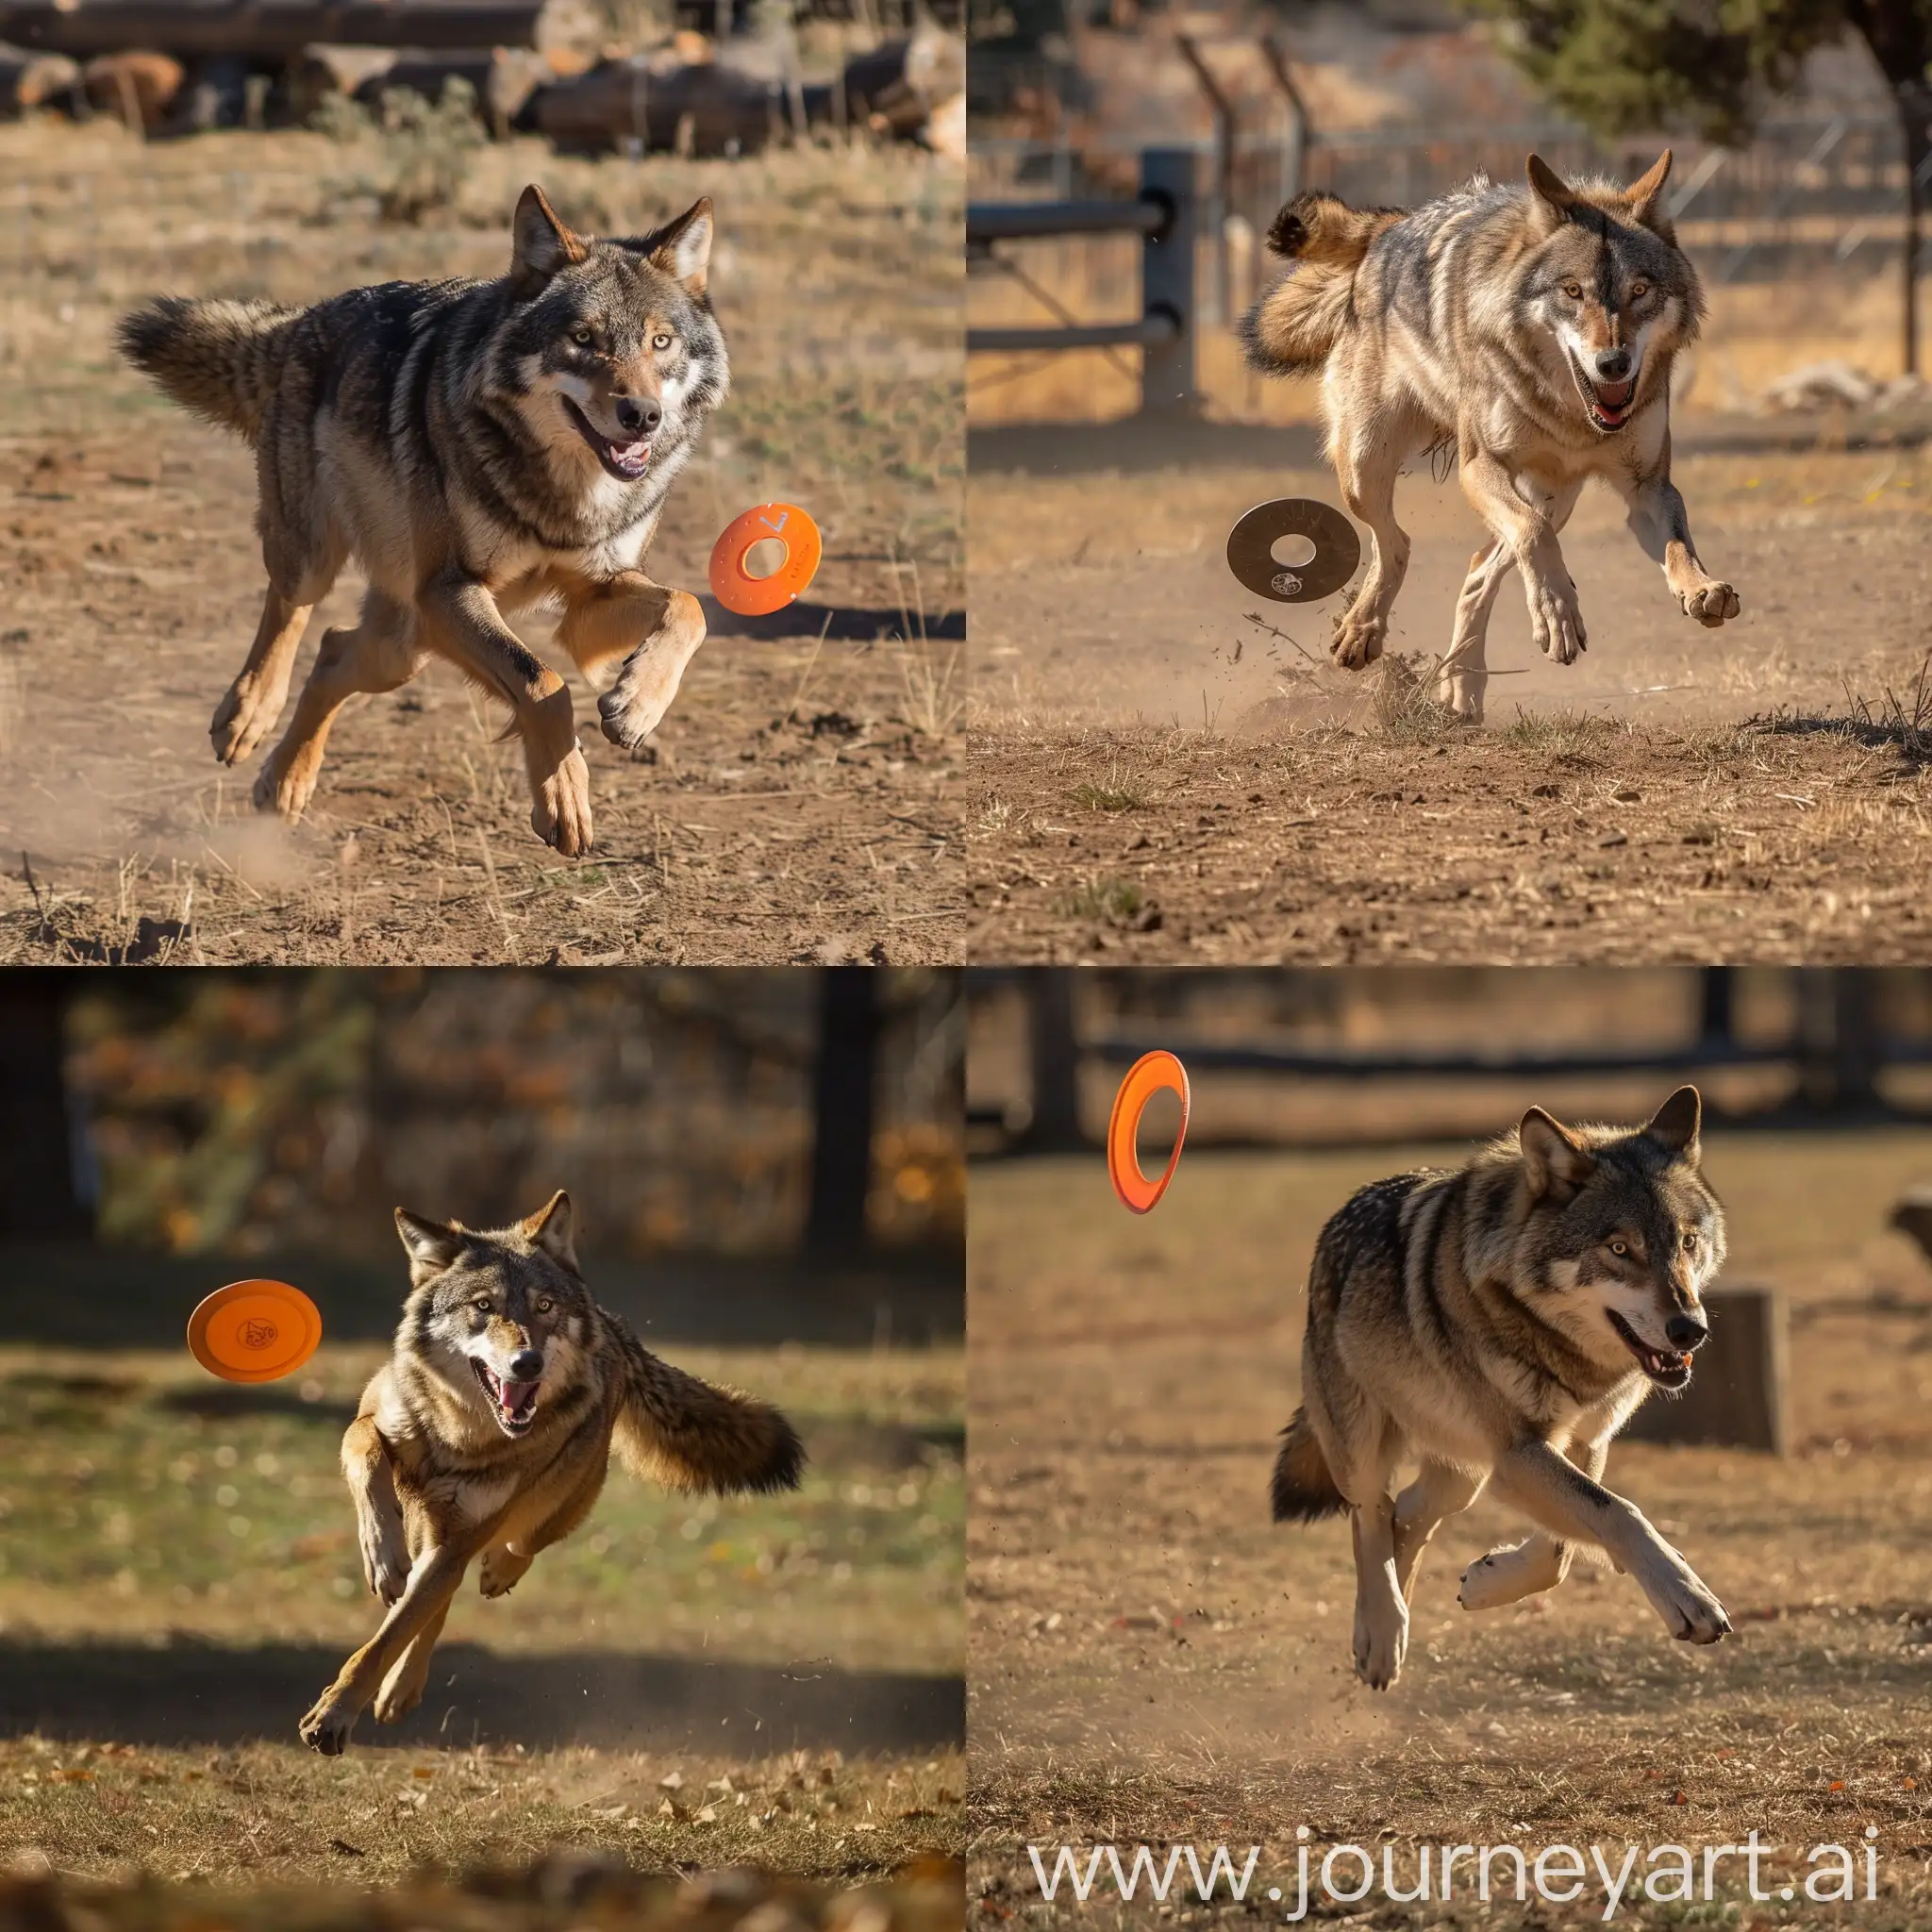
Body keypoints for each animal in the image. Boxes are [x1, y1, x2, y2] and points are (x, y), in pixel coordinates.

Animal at [114, 186, 730, 854]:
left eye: (660, 342)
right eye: (584, 338)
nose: (641, 416)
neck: (563, 493)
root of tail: (301, 319)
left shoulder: (589, 596)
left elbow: (687, 609)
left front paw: (637, 705)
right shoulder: (448, 590)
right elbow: (543, 684)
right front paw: (564, 799)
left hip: (403, 649)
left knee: (332, 652)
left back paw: (285, 786)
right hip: (328, 569)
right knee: (291, 610)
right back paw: (247, 715)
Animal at [297, 1182, 795, 1761]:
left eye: (544, 1306)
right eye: (484, 1306)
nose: (527, 1363)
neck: (461, 1436)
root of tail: (612, 1325)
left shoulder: (461, 1538)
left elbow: (388, 1638)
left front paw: (333, 1717)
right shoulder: (374, 1422)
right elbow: (366, 1455)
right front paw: (382, 1557)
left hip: (553, 1506)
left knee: (507, 1553)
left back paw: (484, 1588)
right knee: (438, 1594)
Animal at [1243, 152, 1746, 726]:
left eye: (1639, 291)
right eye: (1572, 291)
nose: (1613, 364)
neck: (1570, 414)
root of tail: (1391, 226)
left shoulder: (1649, 489)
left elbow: (1678, 547)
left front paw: (1701, 590)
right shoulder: (1479, 468)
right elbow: (1532, 536)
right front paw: (1557, 614)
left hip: (1555, 498)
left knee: (1476, 571)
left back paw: (1462, 687)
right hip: (1365, 465)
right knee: (1399, 543)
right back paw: (1363, 632)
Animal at [1267, 1090, 1739, 1692]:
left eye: (1687, 1242)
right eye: (1619, 1248)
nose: (1690, 1330)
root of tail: (1335, 1223)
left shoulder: (1580, 1443)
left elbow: (1564, 1547)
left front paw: (1487, 1583)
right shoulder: (1517, 1453)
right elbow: (1620, 1512)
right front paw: (1689, 1598)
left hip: (1464, 1475)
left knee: (1406, 1514)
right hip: (1364, 1450)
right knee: (1371, 1514)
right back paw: (1380, 1634)